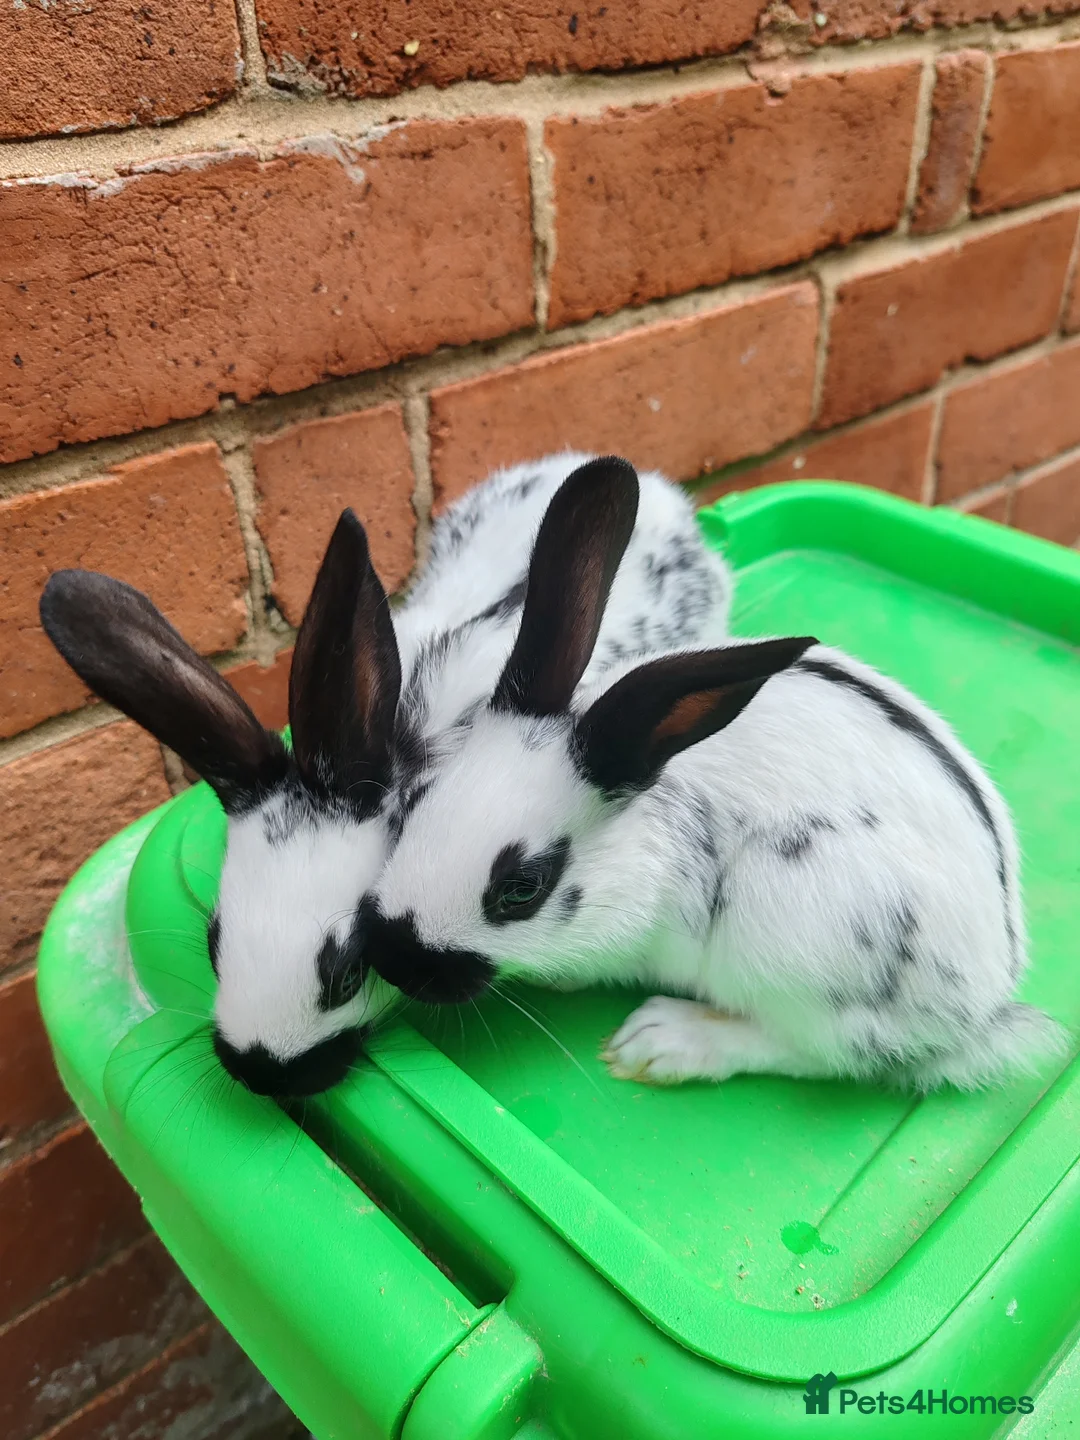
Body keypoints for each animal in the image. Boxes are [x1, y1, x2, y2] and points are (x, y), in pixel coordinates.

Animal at [365, 458, 1066, 1091]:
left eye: (521, 888)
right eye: (418, 800)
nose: (394, 959)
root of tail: (981, 1010)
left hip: (787, 948)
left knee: (817, 1054)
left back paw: (662, 1042)